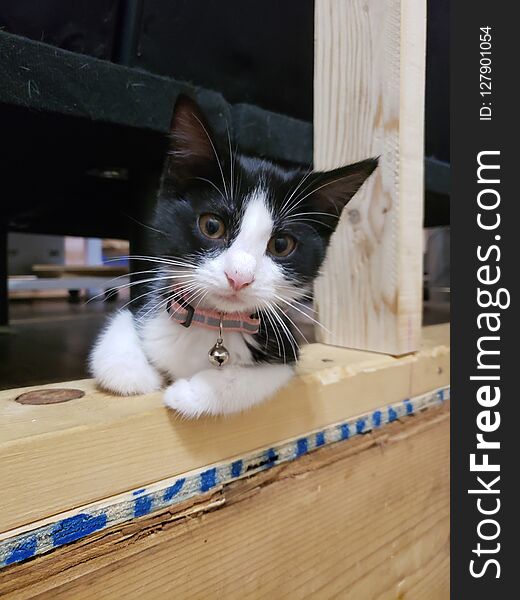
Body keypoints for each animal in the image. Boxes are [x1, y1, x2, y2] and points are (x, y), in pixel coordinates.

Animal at [90, 97, 378, 418]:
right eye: (212, 226)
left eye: (281, 244)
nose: (239, 277)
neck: (215, 323)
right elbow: (117, 333)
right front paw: (136, 375)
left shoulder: (285, 349)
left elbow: (258, 378)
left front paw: (190, 392)